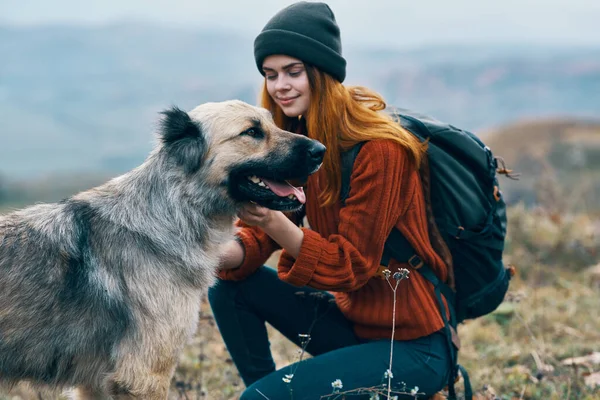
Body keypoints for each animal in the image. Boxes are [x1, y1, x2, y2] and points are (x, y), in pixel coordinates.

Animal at [0, 99, 324, 396]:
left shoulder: (97, 383)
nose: (320, 151)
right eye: (252, 132)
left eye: (272, 123)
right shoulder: (144, 375)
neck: (172, 211)